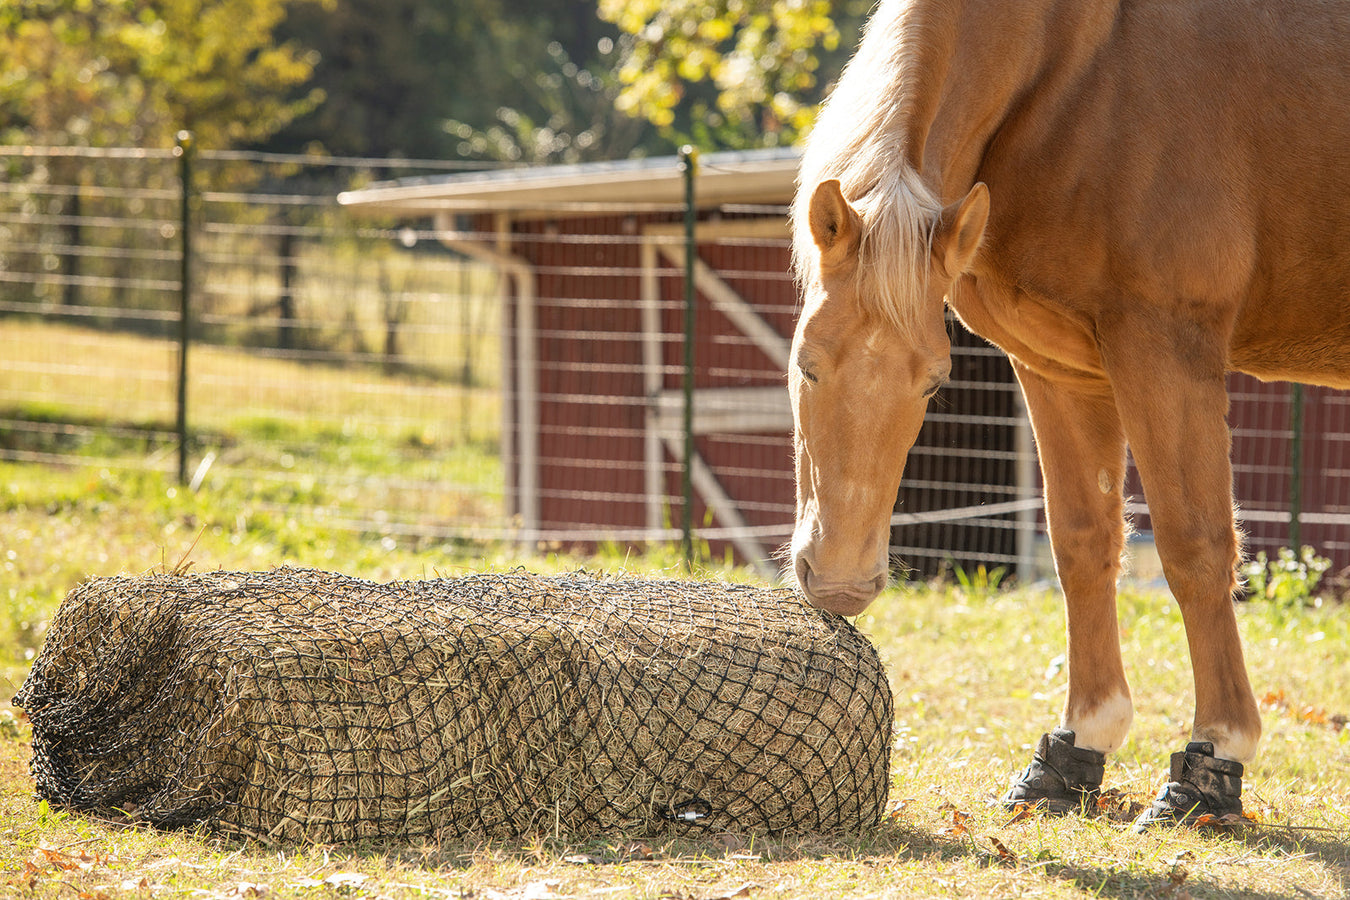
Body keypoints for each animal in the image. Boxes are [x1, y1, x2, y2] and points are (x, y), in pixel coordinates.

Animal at [788, 0, 1350, 828]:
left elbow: (1194, 546)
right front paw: (1075, 749)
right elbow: (1083, 544)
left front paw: (1212, 760)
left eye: (933, 384)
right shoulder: (1058, 369)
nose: (841, 586)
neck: (1081, 63)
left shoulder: (1163, 345)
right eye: (806, 363)